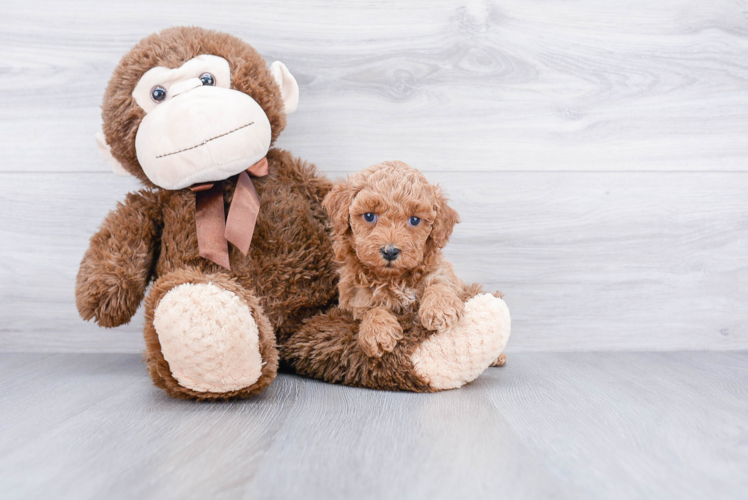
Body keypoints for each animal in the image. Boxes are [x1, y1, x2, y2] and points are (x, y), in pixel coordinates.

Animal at [322, 160, 506, 364]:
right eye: (369, 216)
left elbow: (439, 283)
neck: (395, 278)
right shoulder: (352, 295)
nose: (390, 251)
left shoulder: (443, 271)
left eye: (415, 220)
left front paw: (440, 309)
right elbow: (368, 309)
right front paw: (378, 331)